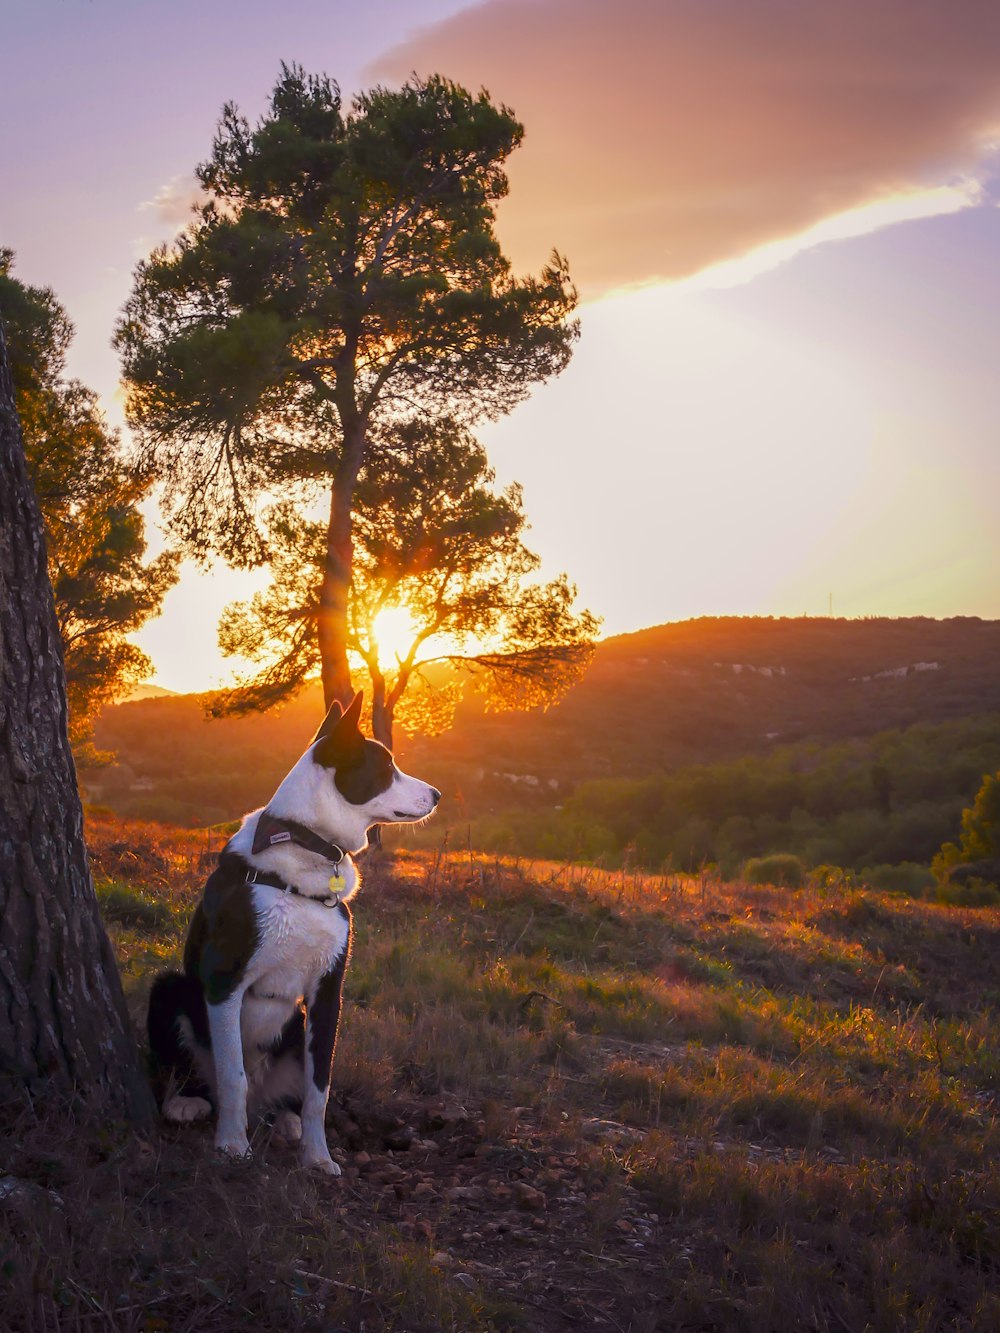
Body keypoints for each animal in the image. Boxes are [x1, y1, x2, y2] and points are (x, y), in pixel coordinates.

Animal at [146, 693, 440, 1173]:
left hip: (296, 1026)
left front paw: (317, 1158)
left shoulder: (327, 994)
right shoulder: (224, 982)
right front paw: (232, 1146)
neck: (306, 845)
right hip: (171, 989)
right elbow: (233, 1075)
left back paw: (285, 1120)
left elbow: (319, 1088)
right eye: (386, 767)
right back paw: (187, 1101)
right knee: (198, 1072)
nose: (437, 794)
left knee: (283, 1098)